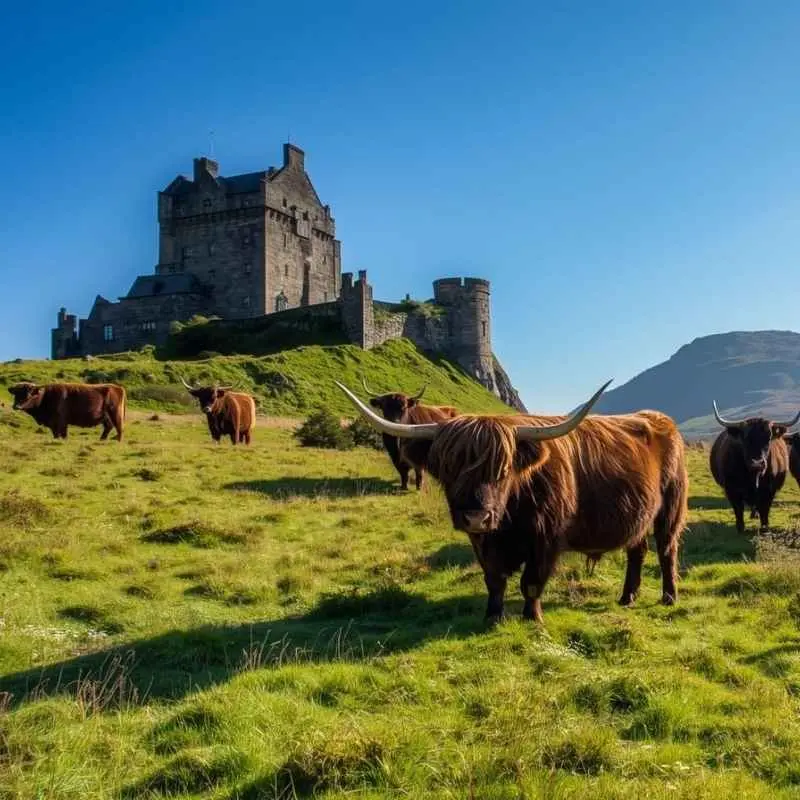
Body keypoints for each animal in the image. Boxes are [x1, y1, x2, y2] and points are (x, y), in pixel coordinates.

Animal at [336, 379, 689, 624]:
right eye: (449, 470)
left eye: (502, 470)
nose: (475, 517)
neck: (511, 515)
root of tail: (660, 419)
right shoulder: (483, 541)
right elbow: (494, 580)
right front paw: (492, 617)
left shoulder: (546, 538)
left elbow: (530, 582)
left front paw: (533, 619)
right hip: (638, 514)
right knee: (637, 550)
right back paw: (628, 596)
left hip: (670, 507)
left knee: (666, 549)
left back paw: (669, 597)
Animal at [708, 402, 798, 534]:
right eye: (744, 438)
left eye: (768, 438)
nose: (757, 463)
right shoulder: (732, 490)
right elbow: (738, 510)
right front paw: (740, 528)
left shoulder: (769, 491)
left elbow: (765, 510)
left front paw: (765, 528)